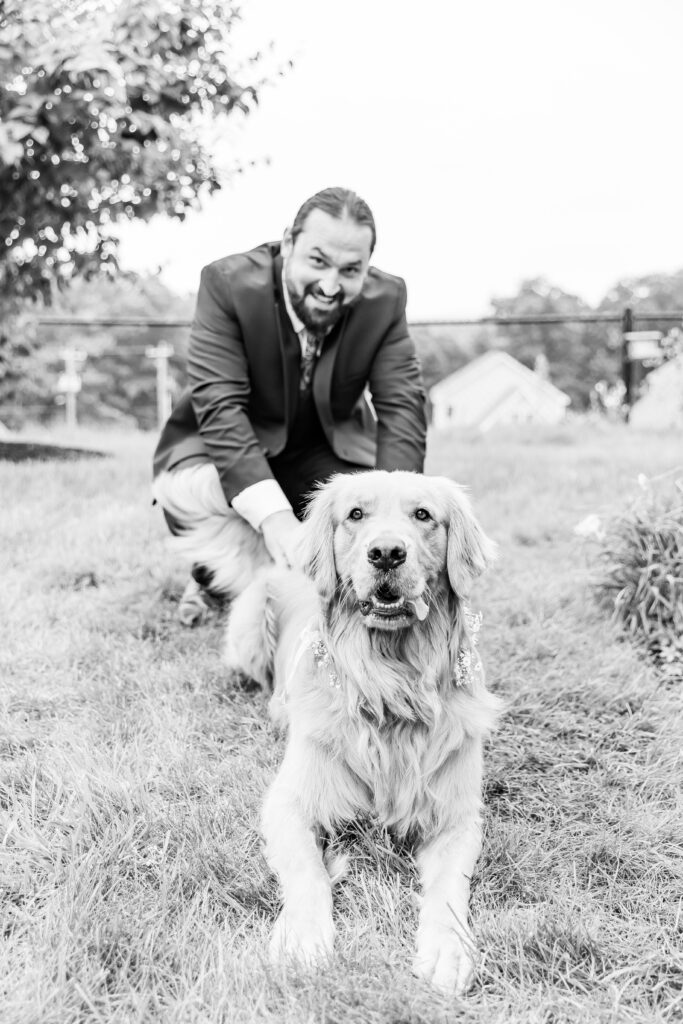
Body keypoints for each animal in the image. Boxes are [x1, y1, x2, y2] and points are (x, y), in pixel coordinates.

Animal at [224, 468, 501, 991]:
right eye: (355, 514)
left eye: (423, 515)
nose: (387, 553)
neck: (390, 686)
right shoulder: (289, 804)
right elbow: (308, 871)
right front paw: (301, 937)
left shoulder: (458, 818)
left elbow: (449, 889)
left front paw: (448, 949)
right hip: (247, 626)